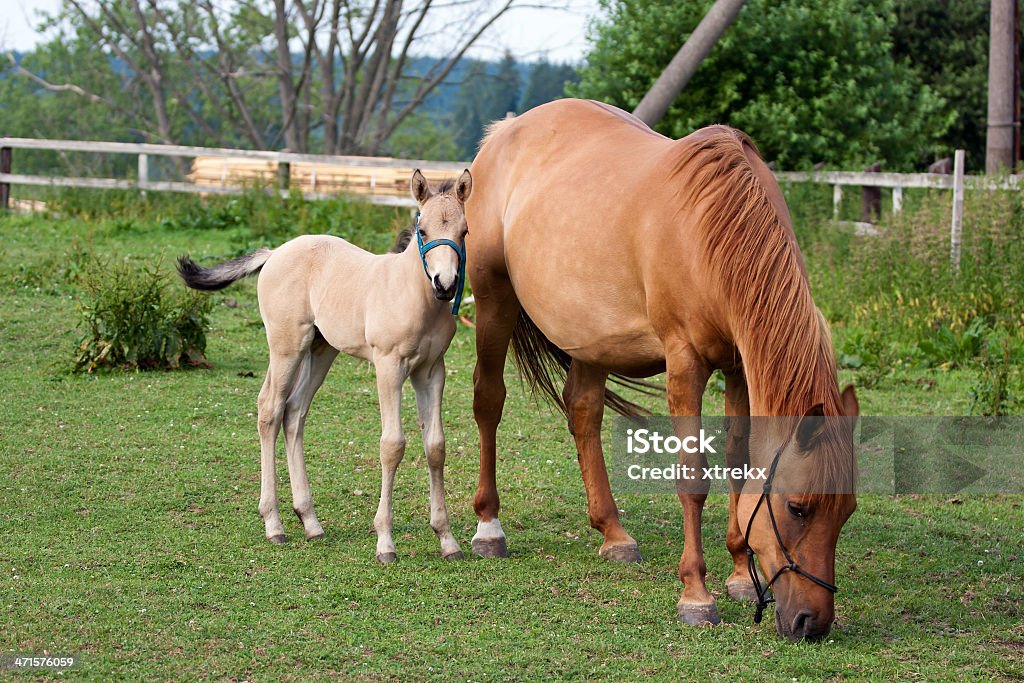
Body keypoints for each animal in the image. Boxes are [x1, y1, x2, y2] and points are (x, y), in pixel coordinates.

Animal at [177, 169, 471, 561]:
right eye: (423, 231)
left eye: (464, 232)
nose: (445, 284)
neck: (413, 295)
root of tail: (275, 253)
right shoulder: (389, 367)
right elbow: (392, 445)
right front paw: (385, 542)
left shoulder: (432, 372)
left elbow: (435, 447)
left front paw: (447, 540)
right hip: (287, 347)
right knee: (270, 409)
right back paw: (274, 524)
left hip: (321, 351)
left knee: (294, 413)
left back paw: (310, 521)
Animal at [464, 98, 856, 643]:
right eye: (798, 508)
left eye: (847, 511)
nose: (812, 623)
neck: (713, 229)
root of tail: (504, 132)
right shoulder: (685, 362)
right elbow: (693, 476)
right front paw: (696, 594)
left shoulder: (738, 366)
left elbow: (738, 461)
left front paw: (740, 574)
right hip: (493, 300)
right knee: (489, 400)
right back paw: (489, 527)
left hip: (590, 335)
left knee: (582, 410)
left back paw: (614, 534)